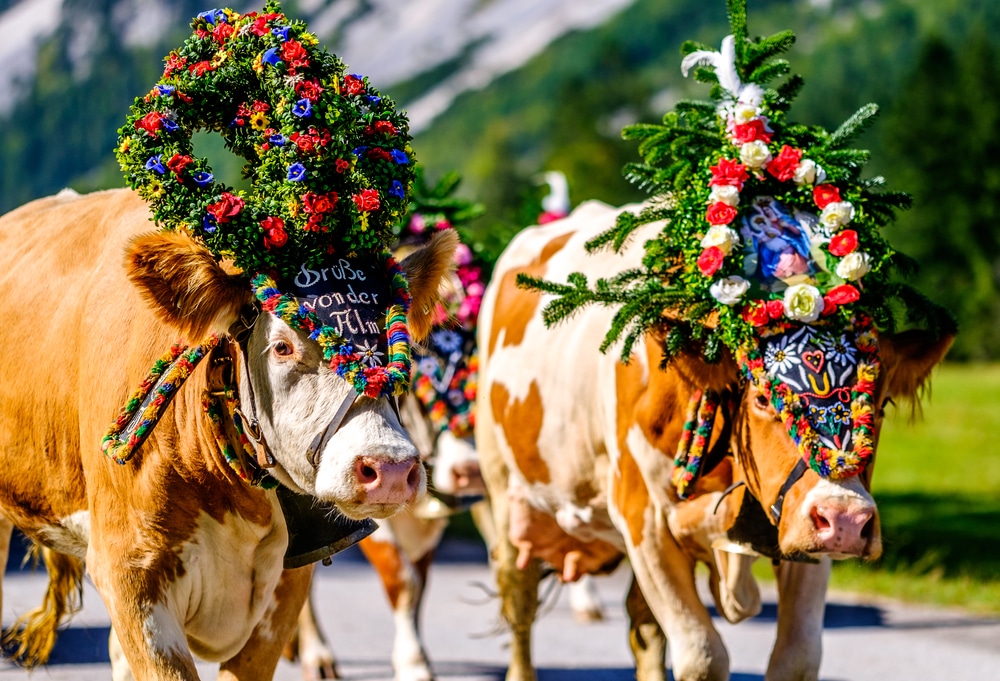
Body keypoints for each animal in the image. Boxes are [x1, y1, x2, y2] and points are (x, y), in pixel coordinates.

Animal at [476, 199, 952, 676]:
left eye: (882, 404)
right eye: (762, 397)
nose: (846, 520)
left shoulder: (800, 531)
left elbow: (796, 656)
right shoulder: (643, 520)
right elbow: (702, 654)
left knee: (641, 627)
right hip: (501, 486)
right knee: (518, 598)